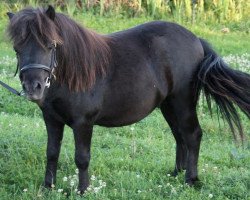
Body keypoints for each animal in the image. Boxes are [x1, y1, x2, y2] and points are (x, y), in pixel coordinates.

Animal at [6, 6, 249, 193]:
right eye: (17, 48)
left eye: (50, 45)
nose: (33, 87)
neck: (73, 73)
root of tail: (196, 39)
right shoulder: (52, 119)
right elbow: (51, 153)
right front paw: (48, 187)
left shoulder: (83, 122)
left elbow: (81, 157)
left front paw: (83, 190)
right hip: (168, 104)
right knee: (179, 136)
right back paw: (175, 174)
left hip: (183, 102)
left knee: (192, 135)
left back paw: (190, 180)